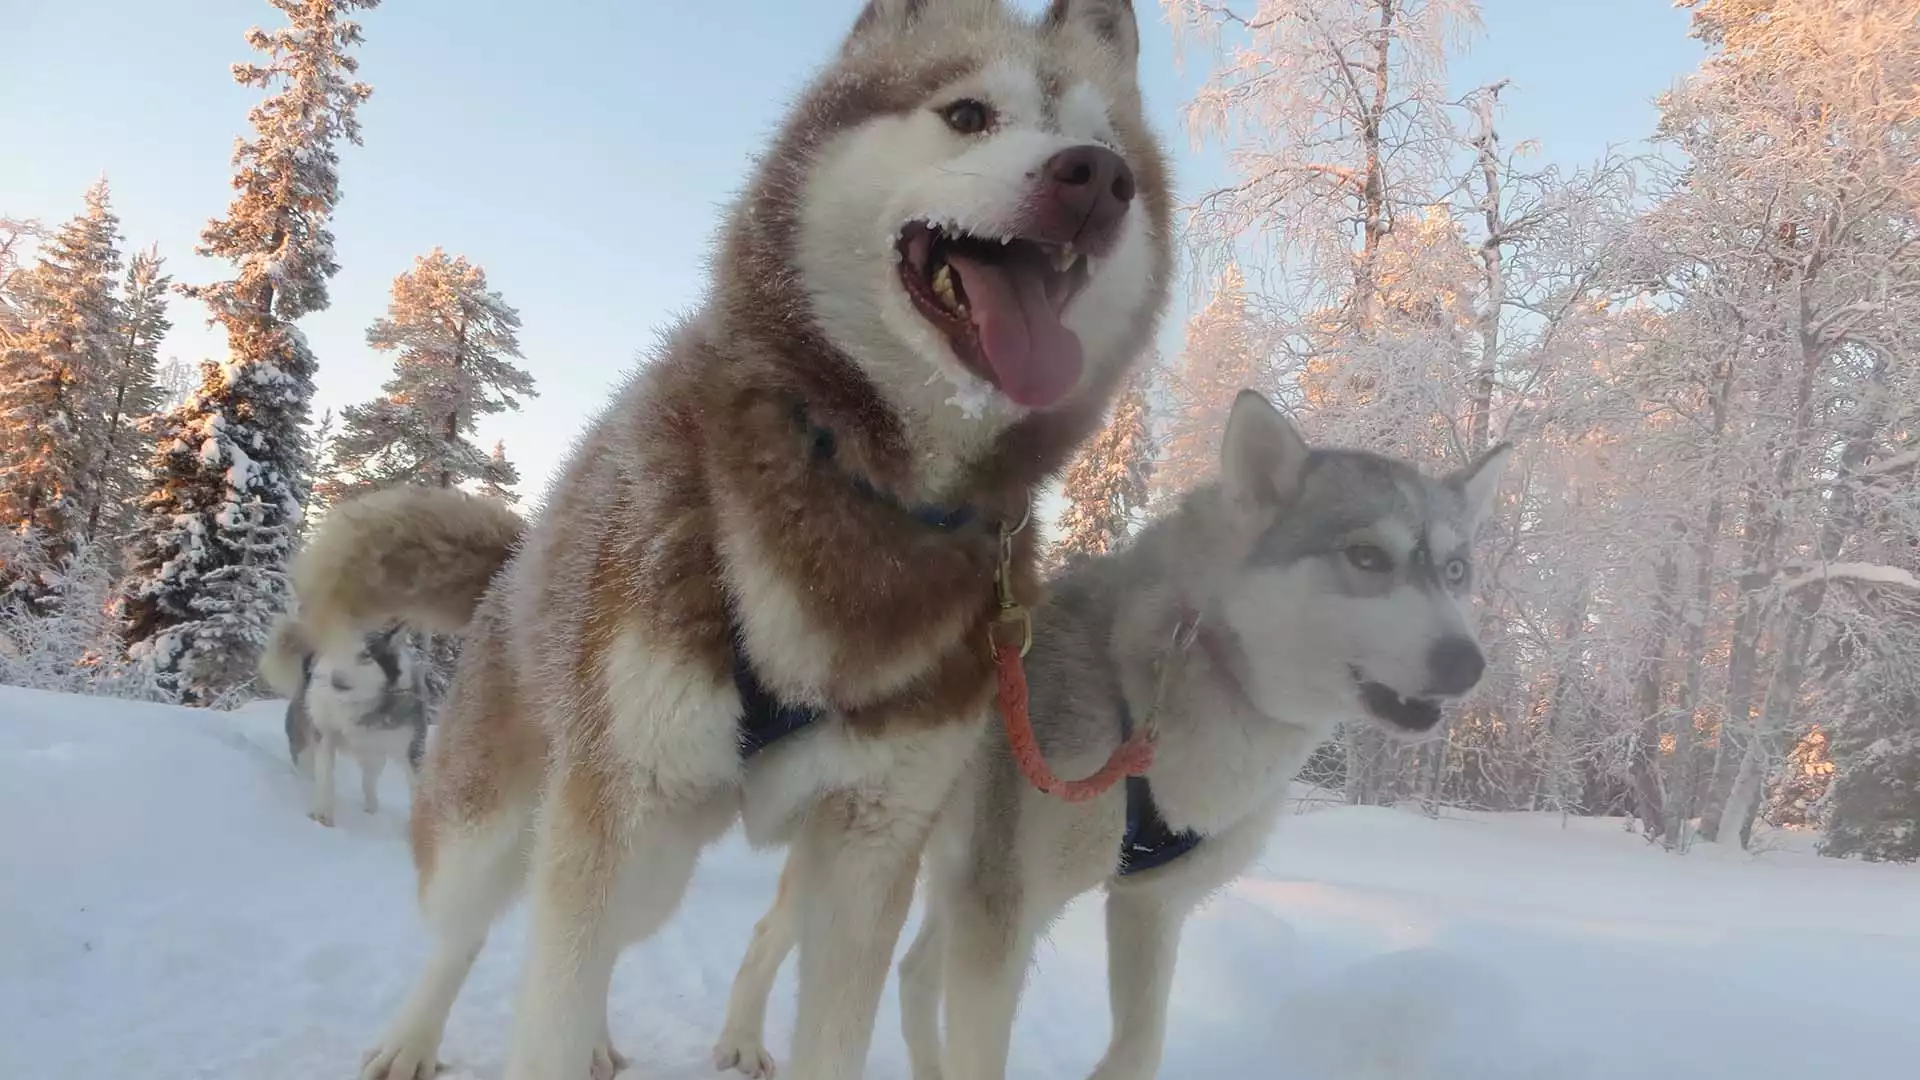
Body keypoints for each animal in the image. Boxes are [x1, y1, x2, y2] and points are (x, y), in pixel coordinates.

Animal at [261, 622, 426, 822]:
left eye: (366, 655)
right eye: (337, 650)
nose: (335, 679)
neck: (359, 706)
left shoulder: (411, 752)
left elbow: (418, 790)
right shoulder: (325, 736)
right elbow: (326, 778)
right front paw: (322, 814)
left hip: (374, 755)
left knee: (368, 783)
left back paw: (371, 809)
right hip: (304, 745)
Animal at [714, 390, 1505, 1076]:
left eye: (1457, 570)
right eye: (1367, 556)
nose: (1467, 662)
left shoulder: (1145, 905)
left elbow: (1138, 1050)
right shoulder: (1003, 914)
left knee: (909, 972)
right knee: (771, 935)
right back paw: (741, 1044)